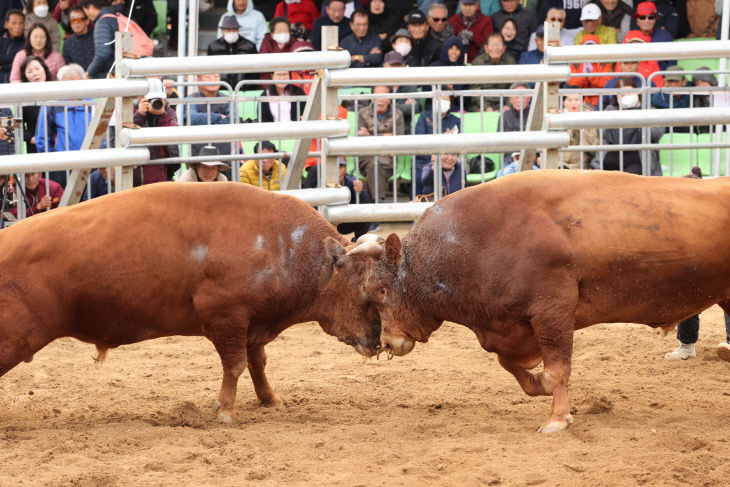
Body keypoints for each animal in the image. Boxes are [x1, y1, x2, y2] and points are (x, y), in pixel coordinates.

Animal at [1, 183, 382, 424]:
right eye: (367, 295)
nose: (377, 342)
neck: (281, 245)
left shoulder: (252, 325)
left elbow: (257, 364)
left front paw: (269, 399)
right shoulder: (226, 318)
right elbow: (235, 366)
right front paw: (225, 411)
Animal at [352, 172, 728, 434]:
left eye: (381, 290)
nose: (387, 342)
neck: (470, 242)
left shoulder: (553, 314)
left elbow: (557, 368)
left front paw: (557, 419)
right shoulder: (508, 326)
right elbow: (514, 367)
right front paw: (541, 390)